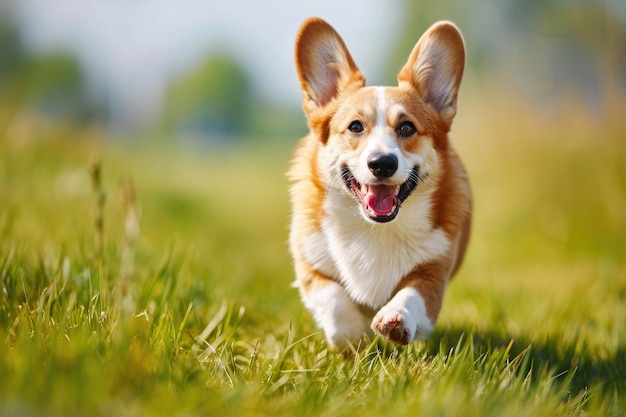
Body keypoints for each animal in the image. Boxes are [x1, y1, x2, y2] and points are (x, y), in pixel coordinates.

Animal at [288, 17, 468, 350]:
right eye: (355, 126)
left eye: (407, 127)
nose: (382, 163)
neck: (374, 230)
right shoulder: (310, 266)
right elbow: (334, 300)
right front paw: (353, 337)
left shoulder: (434, 272)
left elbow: (411, 294)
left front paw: (395, 319)